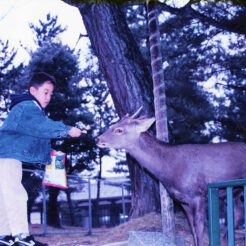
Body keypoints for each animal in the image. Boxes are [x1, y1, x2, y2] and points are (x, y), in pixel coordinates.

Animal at [96, 107, 246, 246]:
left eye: (119, 130)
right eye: (112, 125)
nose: (98, 139)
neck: (169, 171)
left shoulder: (199, 195)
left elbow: (199, 229)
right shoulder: (182, 201)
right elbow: (193, 230)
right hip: (233, 191)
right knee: (238, 211)